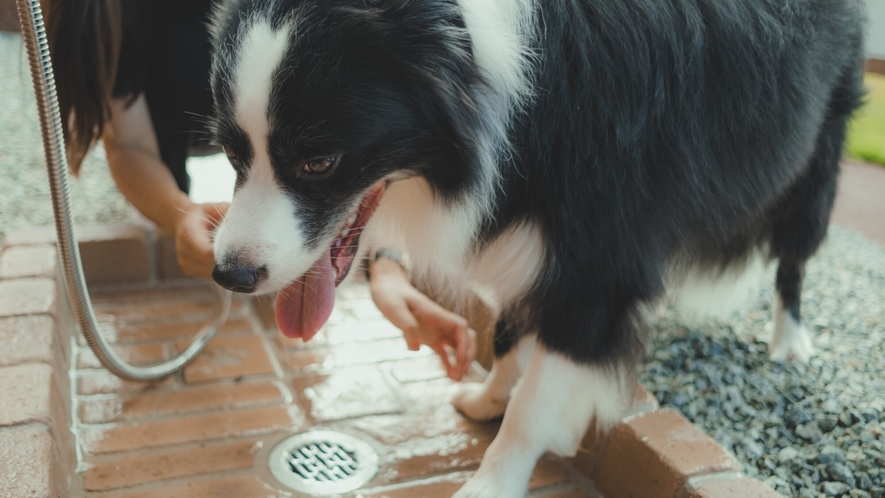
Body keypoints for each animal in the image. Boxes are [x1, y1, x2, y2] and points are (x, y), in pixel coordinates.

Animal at [209, 1, 864, 496]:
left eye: (319, 162)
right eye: (233, 152)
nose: (230, 275)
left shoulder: (601, 260)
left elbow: (536, 405)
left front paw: (490, 483)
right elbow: (506, 328)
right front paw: (488, 396)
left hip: (820, 151)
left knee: (795, 254)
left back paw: (789, 340)